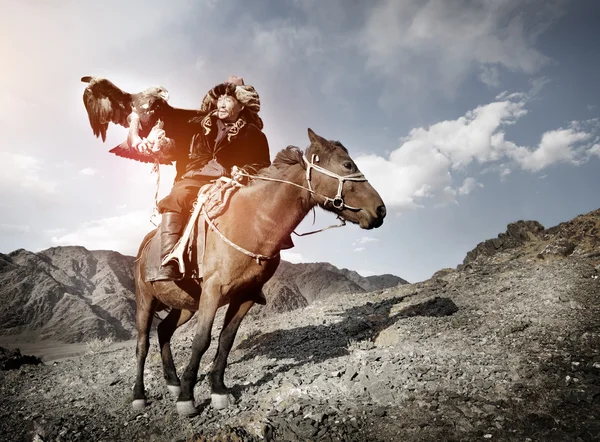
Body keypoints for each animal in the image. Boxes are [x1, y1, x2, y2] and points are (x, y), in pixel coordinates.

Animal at [132, 129, 384, 418]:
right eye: (347, 165)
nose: (380, 209)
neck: (253, 222)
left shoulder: (246, 296)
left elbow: (226, 339)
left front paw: (218, 390)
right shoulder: (213, 291)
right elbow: (202, 340)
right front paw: (187, 398)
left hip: (185, 304)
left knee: (163, 330)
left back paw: (172, 382)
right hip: (146, 300)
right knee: (143, 345)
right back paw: (139, 395)